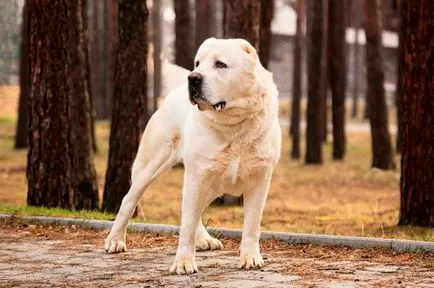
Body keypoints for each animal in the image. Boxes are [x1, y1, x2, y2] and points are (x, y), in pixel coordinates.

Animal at [104, 37, 282, 274]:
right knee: (129, 200)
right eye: (198, 63)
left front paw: (251, 258)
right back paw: (115, 240)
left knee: (196, 210)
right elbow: (187, 223)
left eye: (220, 64)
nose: (193, 77)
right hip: (152, 165)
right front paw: (184, 262)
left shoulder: (259, 179)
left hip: (212, 183)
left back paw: (205, 239)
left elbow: (252, 224)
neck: (233, 124)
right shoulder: (197, 176)